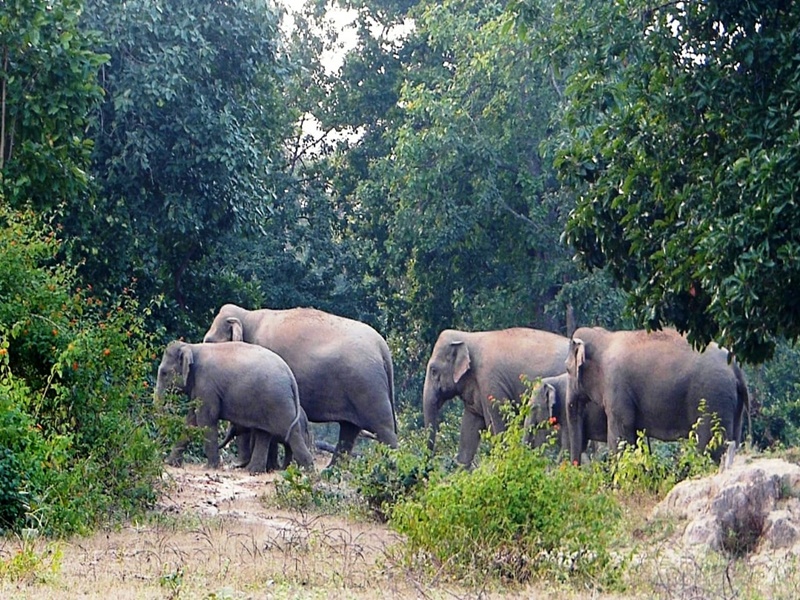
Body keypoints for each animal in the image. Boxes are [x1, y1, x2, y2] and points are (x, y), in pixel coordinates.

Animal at [155, 338, 314, 474]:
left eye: (164, 373)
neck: (191, 347)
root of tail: (290, 375)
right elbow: (191, 422)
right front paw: (170, 463)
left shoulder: (206, 385)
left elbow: (206, 419)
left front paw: (211, 467)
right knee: (263, 432)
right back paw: (253, 471)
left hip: (277, 400)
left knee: (291, 432)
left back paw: (307, 472)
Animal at [203, 304, 396, 464]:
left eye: (209, 342)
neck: (246, 315)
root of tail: (382, 347)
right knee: (349, 429)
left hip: (368, 385)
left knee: (382, 427)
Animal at [564, 328, 748, 464]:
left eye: (567, 368)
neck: (604, 336)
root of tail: (736, 369)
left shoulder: (616, 386)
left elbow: (620, 435)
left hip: (712, 397)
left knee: (708, 443)